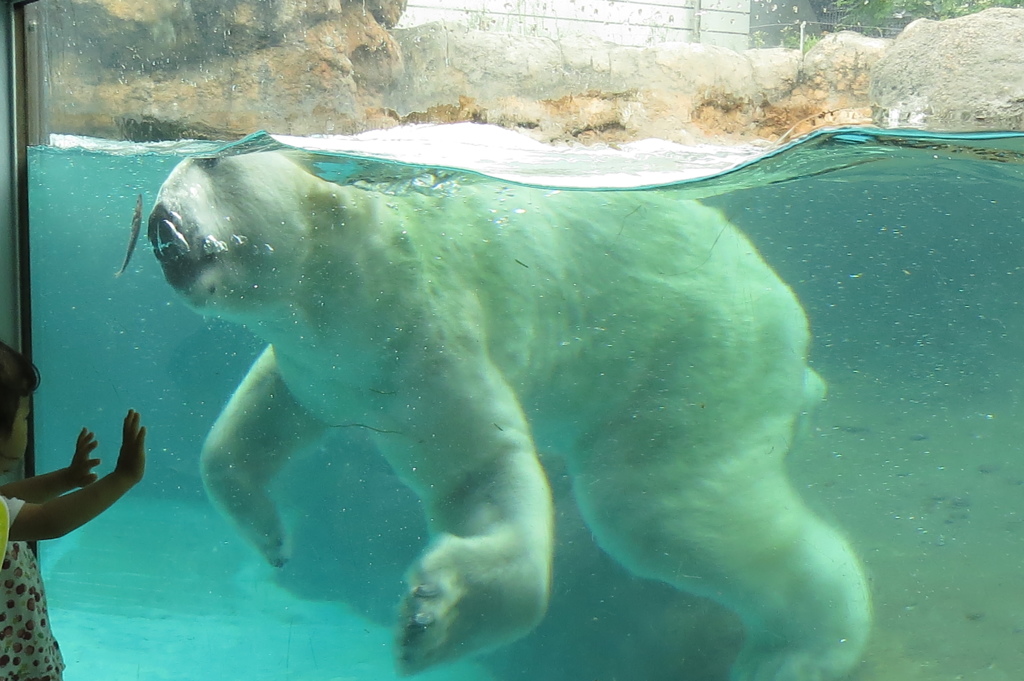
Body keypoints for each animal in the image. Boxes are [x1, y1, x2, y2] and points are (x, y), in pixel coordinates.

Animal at [144, 150, 868, 679]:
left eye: (212, 160)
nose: (158, 224)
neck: (346, 275)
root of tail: (794, 335)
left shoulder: (422, 334)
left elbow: (481, 468)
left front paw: (435, 616)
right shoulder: (326, 363)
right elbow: (257, 420)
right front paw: (273, 538)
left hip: (693, 356)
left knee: (655, 506)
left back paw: (800, 652)